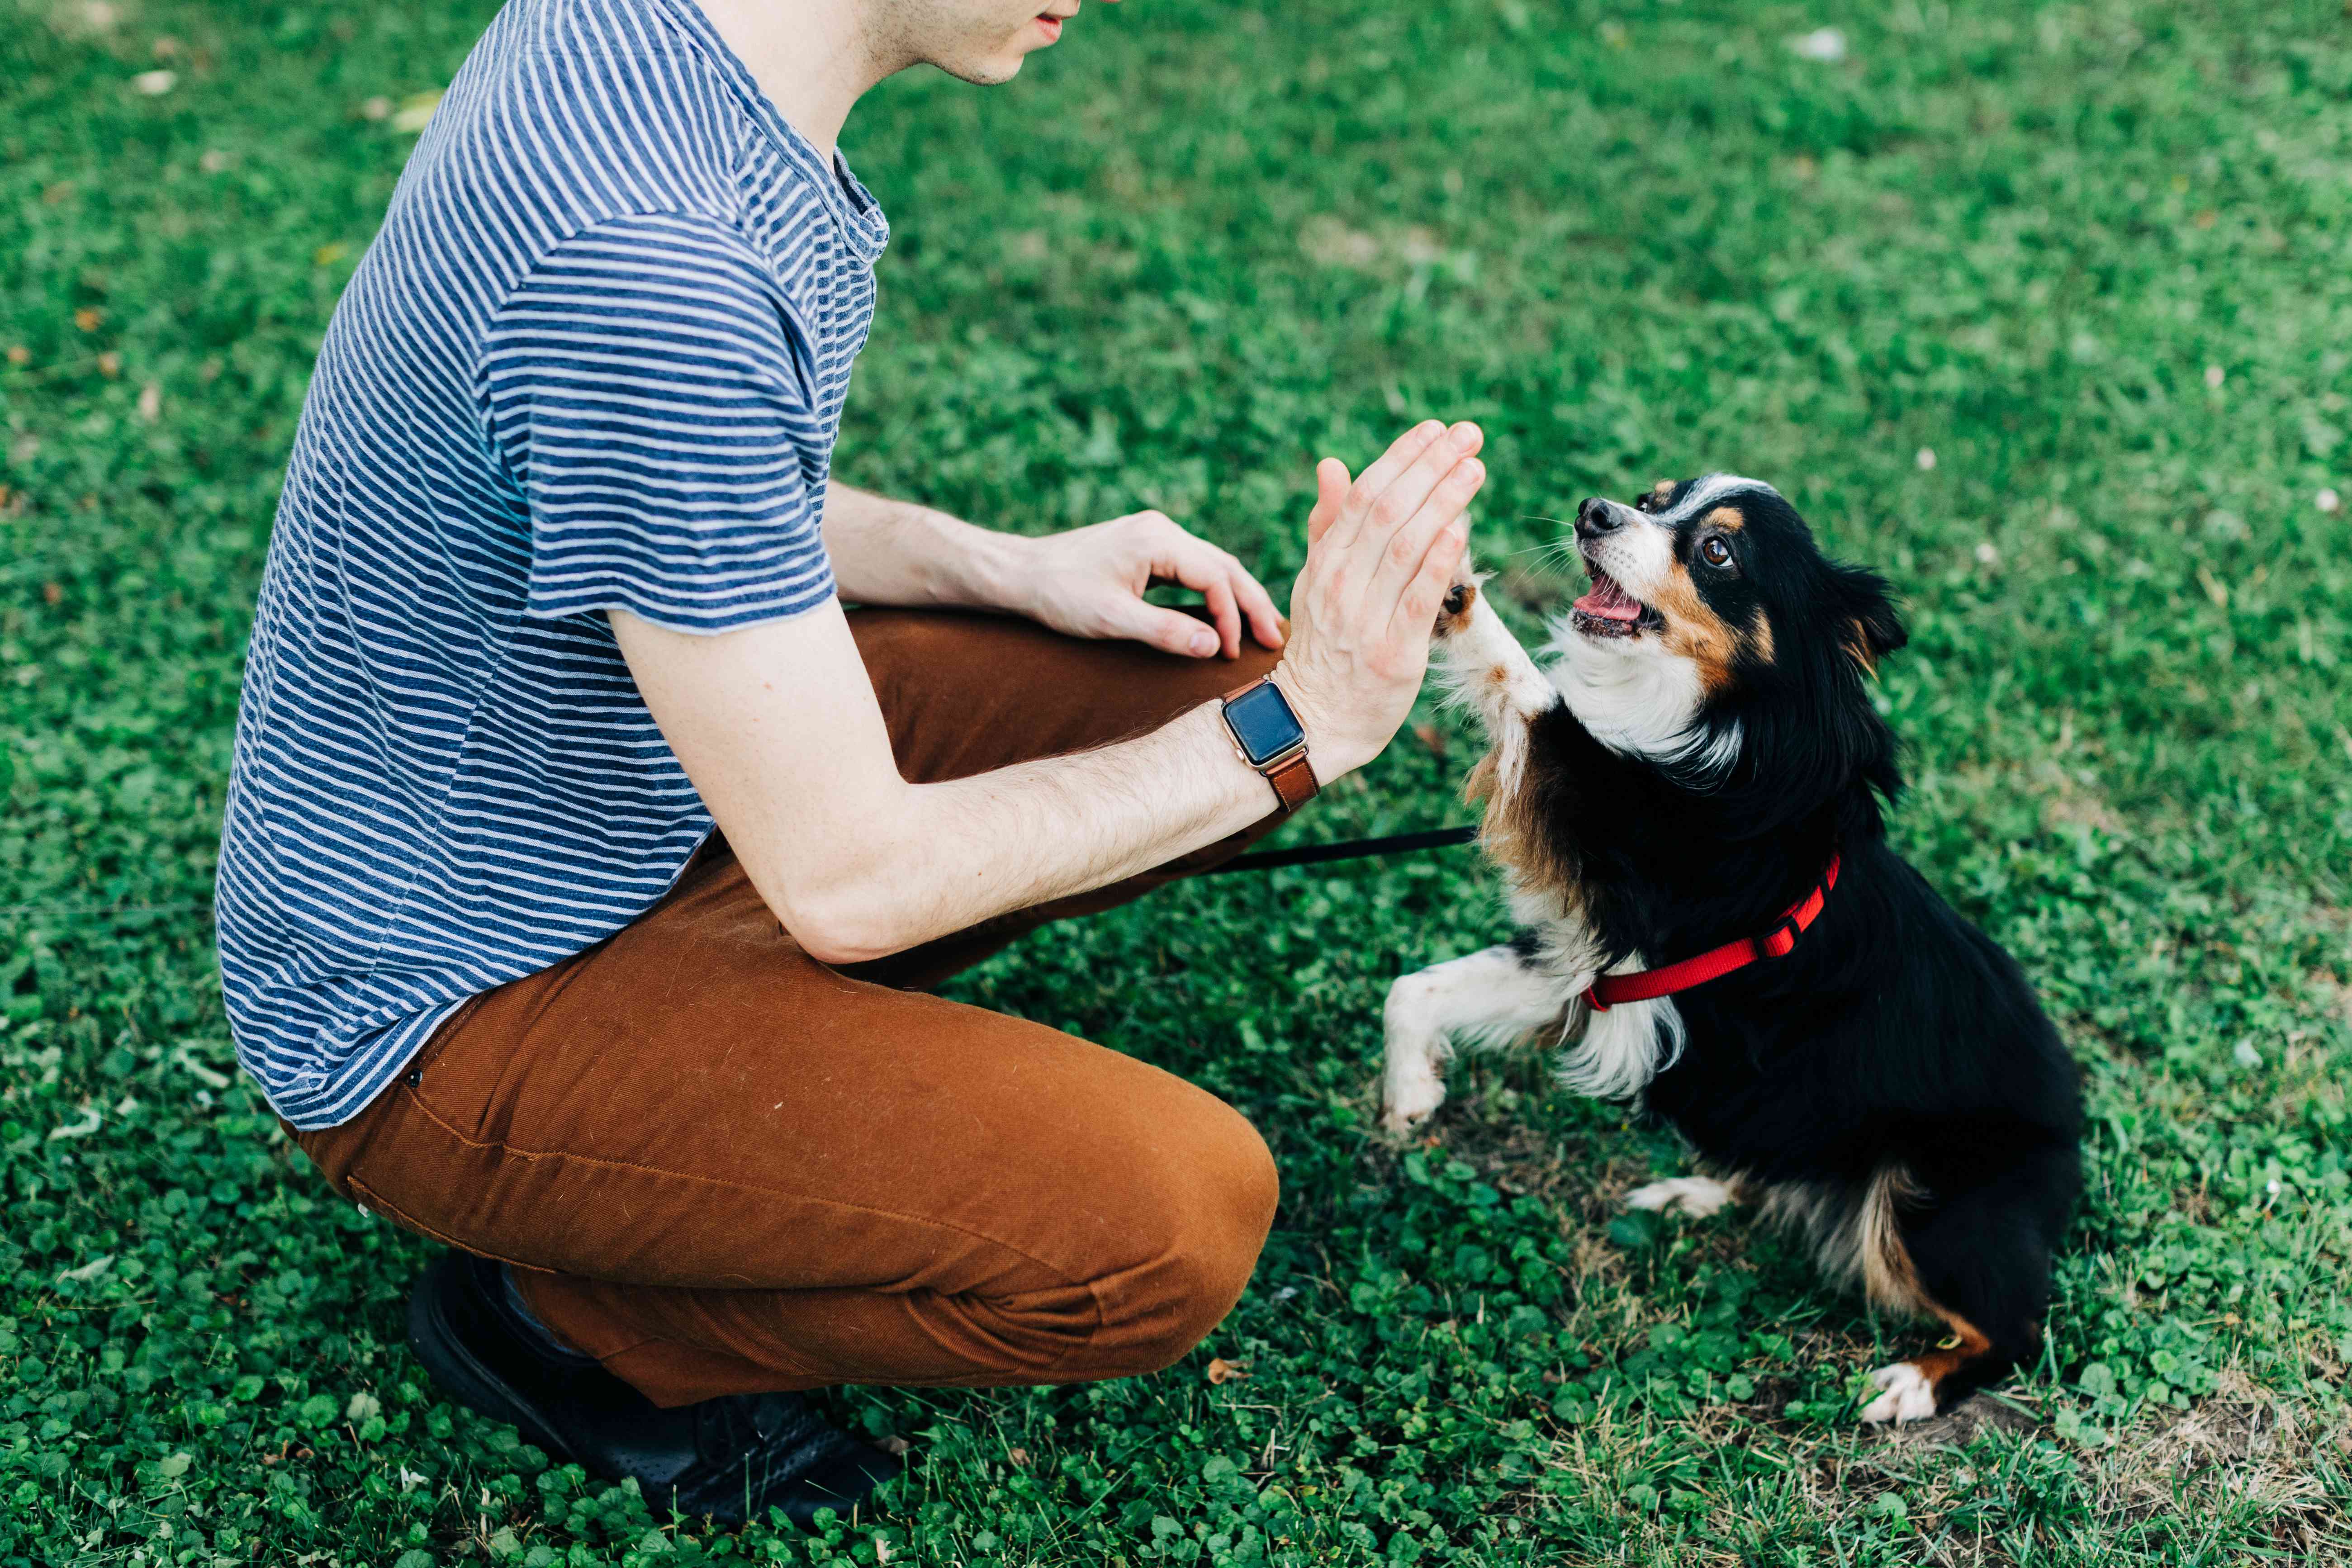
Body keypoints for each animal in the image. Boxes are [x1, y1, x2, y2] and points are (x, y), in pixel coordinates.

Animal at [1383, 479, 2088, 1420]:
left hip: (1933, 1202)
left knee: (2015, 1328)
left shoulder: (1624, 831)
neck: (1715, 719)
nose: (1594, 511)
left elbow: (1531, 691)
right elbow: (1414, 989)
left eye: (1718, 552)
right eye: (1651, 499)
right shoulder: (1592, 962)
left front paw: (1447, 572)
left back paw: (1914, 1384)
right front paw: (1410, 1094)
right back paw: (1695, 1190)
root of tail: (2074, 1137)